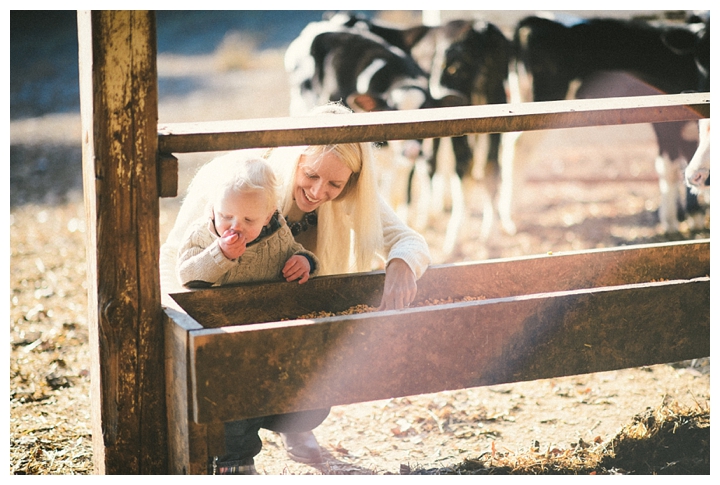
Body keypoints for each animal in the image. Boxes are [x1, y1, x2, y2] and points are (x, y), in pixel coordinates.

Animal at [512, 14, 708, 233]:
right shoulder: (666, 123)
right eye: (700, 60)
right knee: (519, 147)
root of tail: (536, 19)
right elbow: (670, 167)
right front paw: (671, 222)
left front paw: (694, 214)